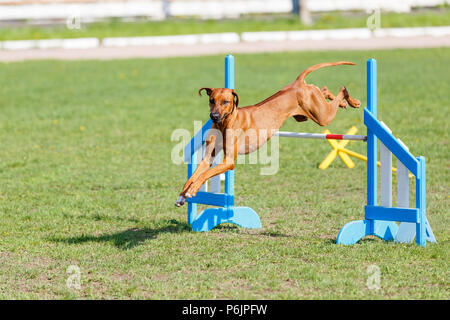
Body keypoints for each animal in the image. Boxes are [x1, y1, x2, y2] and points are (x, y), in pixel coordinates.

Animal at [174, 61, 360, 206]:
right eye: (211, 100)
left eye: (225, 102)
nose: (213, 116)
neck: (225, 122)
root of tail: (297, 83)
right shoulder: (208, 157)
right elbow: (195, 176)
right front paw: (182, 196)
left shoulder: (228, 162)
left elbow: (204, 175)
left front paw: (191, 191)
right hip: (309, 113)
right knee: (324, 89)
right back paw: (343, 102)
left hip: (322, 116)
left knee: (341, 88)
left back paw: (351, 100)